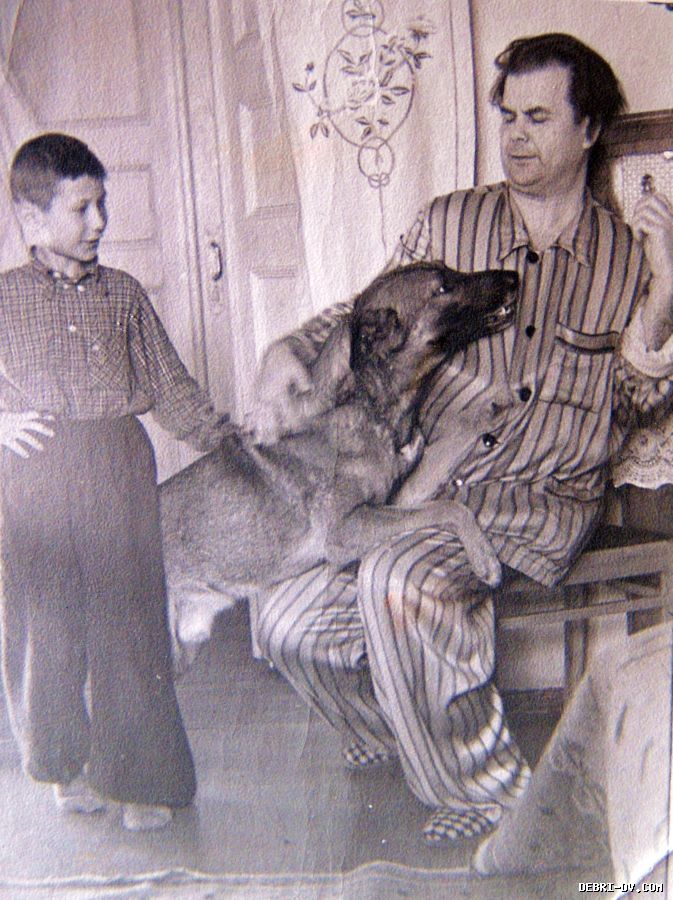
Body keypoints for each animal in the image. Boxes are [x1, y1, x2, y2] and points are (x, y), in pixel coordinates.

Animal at [159, 262, 518, 668]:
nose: (515, 276)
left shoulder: (398, 500)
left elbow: (451, 468)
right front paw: (485, 558)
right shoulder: (349, 527)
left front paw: (489, 410)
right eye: (443, 287)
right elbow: (449, 508)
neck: (371, 406)